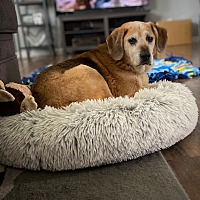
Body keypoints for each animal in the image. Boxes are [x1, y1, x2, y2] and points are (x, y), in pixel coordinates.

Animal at [31, 21, 167, 108]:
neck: (124, 62)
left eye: (150, 38)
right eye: (132, 40)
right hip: (88, 70)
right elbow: (158, 84)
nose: (146, 56)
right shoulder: (132, 90)